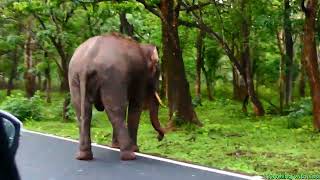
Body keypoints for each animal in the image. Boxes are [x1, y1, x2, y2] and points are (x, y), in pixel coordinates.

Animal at [69, 32, 166, 160]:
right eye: (157, 74)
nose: (159, 138)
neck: (143, 46)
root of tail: (86, 63)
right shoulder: (141, 76)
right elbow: (135, 105)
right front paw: (135, 149)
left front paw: (115, 147)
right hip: (112, 78)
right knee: (116, 111)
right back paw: (130, 155)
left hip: (74, 78)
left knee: (82, 112)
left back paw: (83, 156)